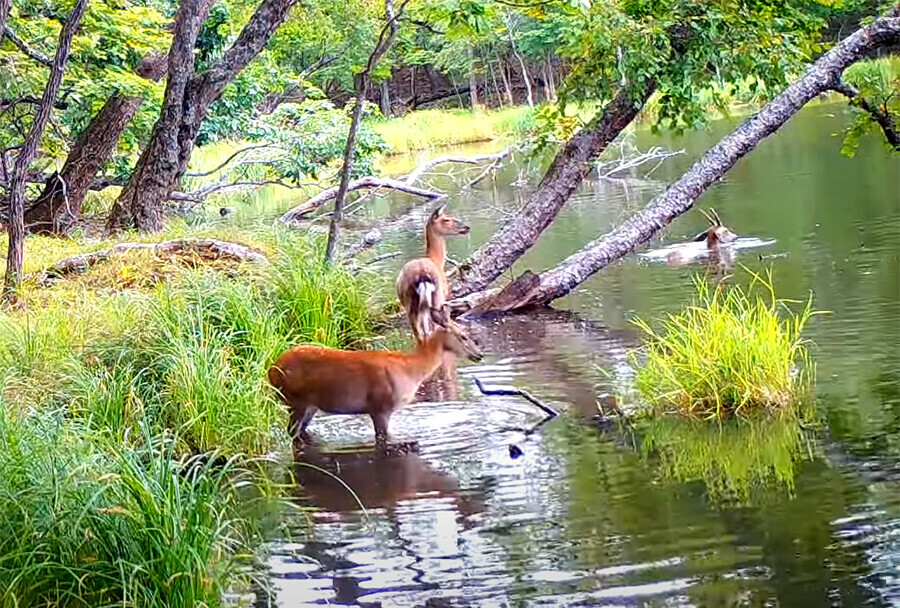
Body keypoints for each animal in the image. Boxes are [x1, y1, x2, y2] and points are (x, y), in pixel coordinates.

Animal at [268, 320, 482, 448]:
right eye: (463, 336)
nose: (478, 354)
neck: (411, 369)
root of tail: (271, 370)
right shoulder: (381, 406)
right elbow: (383, 439)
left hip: (310, 405)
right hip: (295, 399)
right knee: (292, 432)